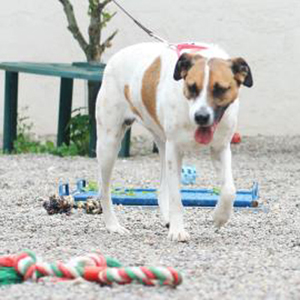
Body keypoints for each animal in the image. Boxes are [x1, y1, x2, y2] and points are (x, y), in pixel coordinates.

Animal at [95, 41, 252, 241]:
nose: (201, 117)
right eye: (192, 87)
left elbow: (229, 190)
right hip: (109, 143)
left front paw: (219, 218)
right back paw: (113, 225)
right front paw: (178, 231)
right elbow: (176, 196)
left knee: (162, 188)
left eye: (220, 89)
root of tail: (115, 58)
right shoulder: (175, 149)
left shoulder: (220, 148)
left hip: (163, 144)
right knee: (104, 188)